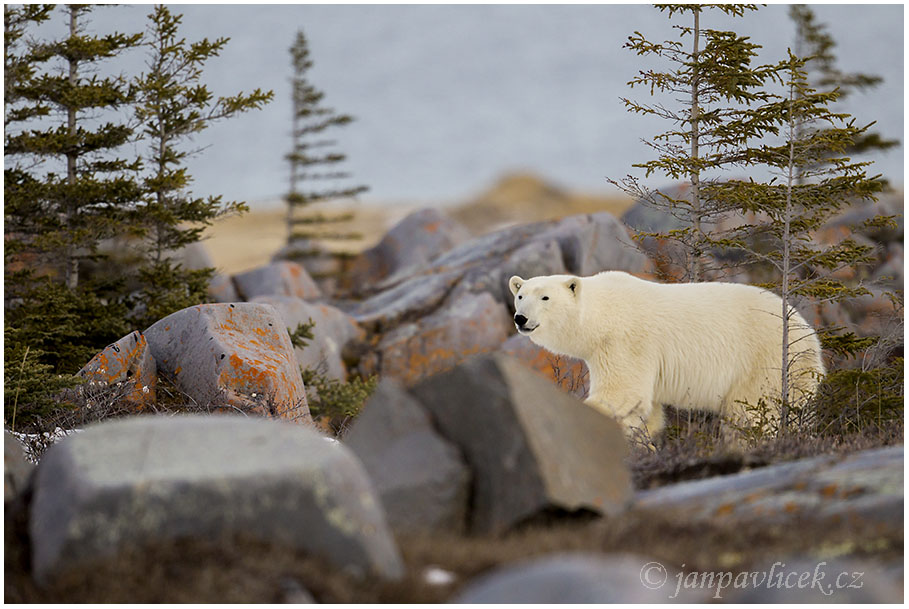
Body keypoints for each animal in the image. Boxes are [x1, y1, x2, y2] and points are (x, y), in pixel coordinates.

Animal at [508, 272, 828, 442]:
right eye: (521, 295)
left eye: (545, 297)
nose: (520, 318)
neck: (604, 314)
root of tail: (808, 333)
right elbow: (646, 409)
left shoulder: (624, 343)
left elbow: (621, 395)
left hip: (763, 361)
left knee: (749, 415)